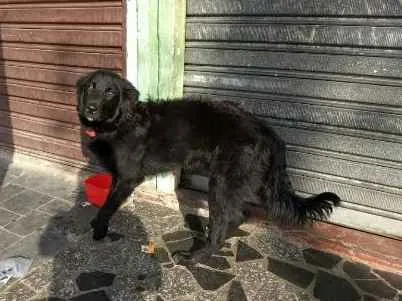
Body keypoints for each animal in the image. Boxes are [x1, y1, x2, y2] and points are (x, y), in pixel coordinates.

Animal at [75, 69, 340, 264]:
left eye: (110, 91)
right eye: (91, 87)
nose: (90, 108)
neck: (121, 122)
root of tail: (268, 132)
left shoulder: (128, 177)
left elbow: (108, 206)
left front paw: (99, 230)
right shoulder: (117, 176)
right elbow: (107, 200)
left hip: (221, 183)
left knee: (226, 222)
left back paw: (195, 256)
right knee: (239, 215)